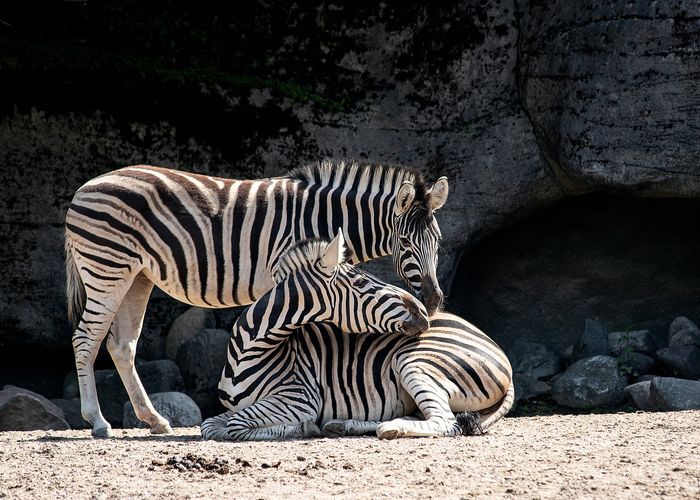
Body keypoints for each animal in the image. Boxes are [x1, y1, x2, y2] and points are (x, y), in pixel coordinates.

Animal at [64, 158, 448, 436]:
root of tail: (84, 188)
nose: (432, 301)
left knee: (121, 345)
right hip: (107, 267)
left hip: (137, 275)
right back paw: (98, 422)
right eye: (404, 242)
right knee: (86, 339)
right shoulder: (288, 272)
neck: (326, 217)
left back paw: (154, 420)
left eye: (439, 240)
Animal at [200, 232, 512, 440]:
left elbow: (235, 426)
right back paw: (344, 424)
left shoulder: (299, 398)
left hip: (415, 362)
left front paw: (303, 427)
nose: (425, 311)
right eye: (362, 282)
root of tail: (498, 350)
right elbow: (210, 426)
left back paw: (389, 428)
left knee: (446, 422)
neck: (249, 350)